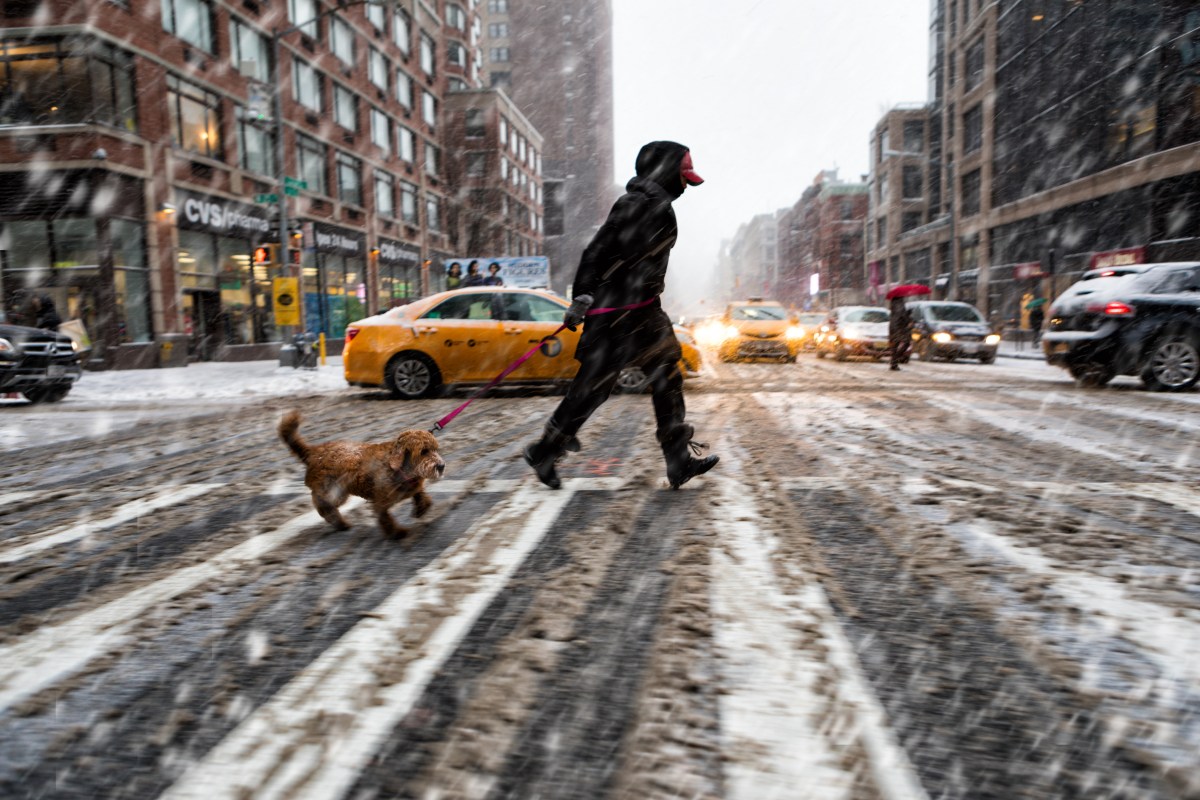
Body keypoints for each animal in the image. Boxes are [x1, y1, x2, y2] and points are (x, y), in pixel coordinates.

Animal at [277, 410, 446, 534]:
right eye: (423, 451)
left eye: (436, 449)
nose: (441, 466)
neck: (400, 471)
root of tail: (313, 452)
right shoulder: (380, 502)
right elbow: (385, 518)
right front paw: (398, 533)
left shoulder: (414, 486)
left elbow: (421, 495)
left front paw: (421, 508)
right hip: (332, 490)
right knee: (321, 503)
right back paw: (339, 523)